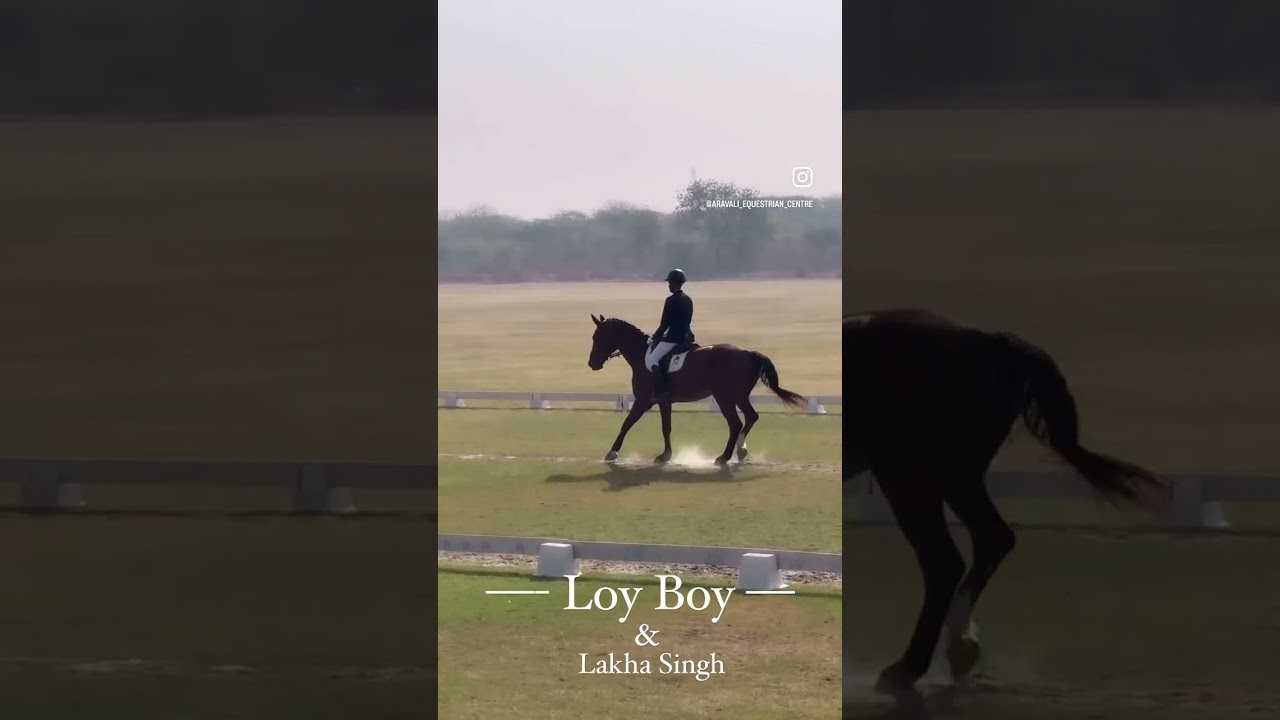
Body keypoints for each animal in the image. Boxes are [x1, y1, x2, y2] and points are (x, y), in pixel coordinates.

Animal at [587, 314, 808, 466]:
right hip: (738, 396)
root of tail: (747, 353)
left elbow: (627, 424)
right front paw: (665, 456)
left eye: (598, 337)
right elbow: (666, 427)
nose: (592, 364)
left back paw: (724, 457)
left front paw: (612, 453)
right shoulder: (664, 401)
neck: (642, 356)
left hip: (725, 397)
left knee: (735, 423)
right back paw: (741, 450)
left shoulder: (644, 400)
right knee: (751, 417)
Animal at [842, 307, 1170, 696]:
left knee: (944, 562)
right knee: (991, 540)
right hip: (954, 478)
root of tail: (986, 341)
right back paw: (960, 649)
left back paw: (908, 668)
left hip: (912, 477)